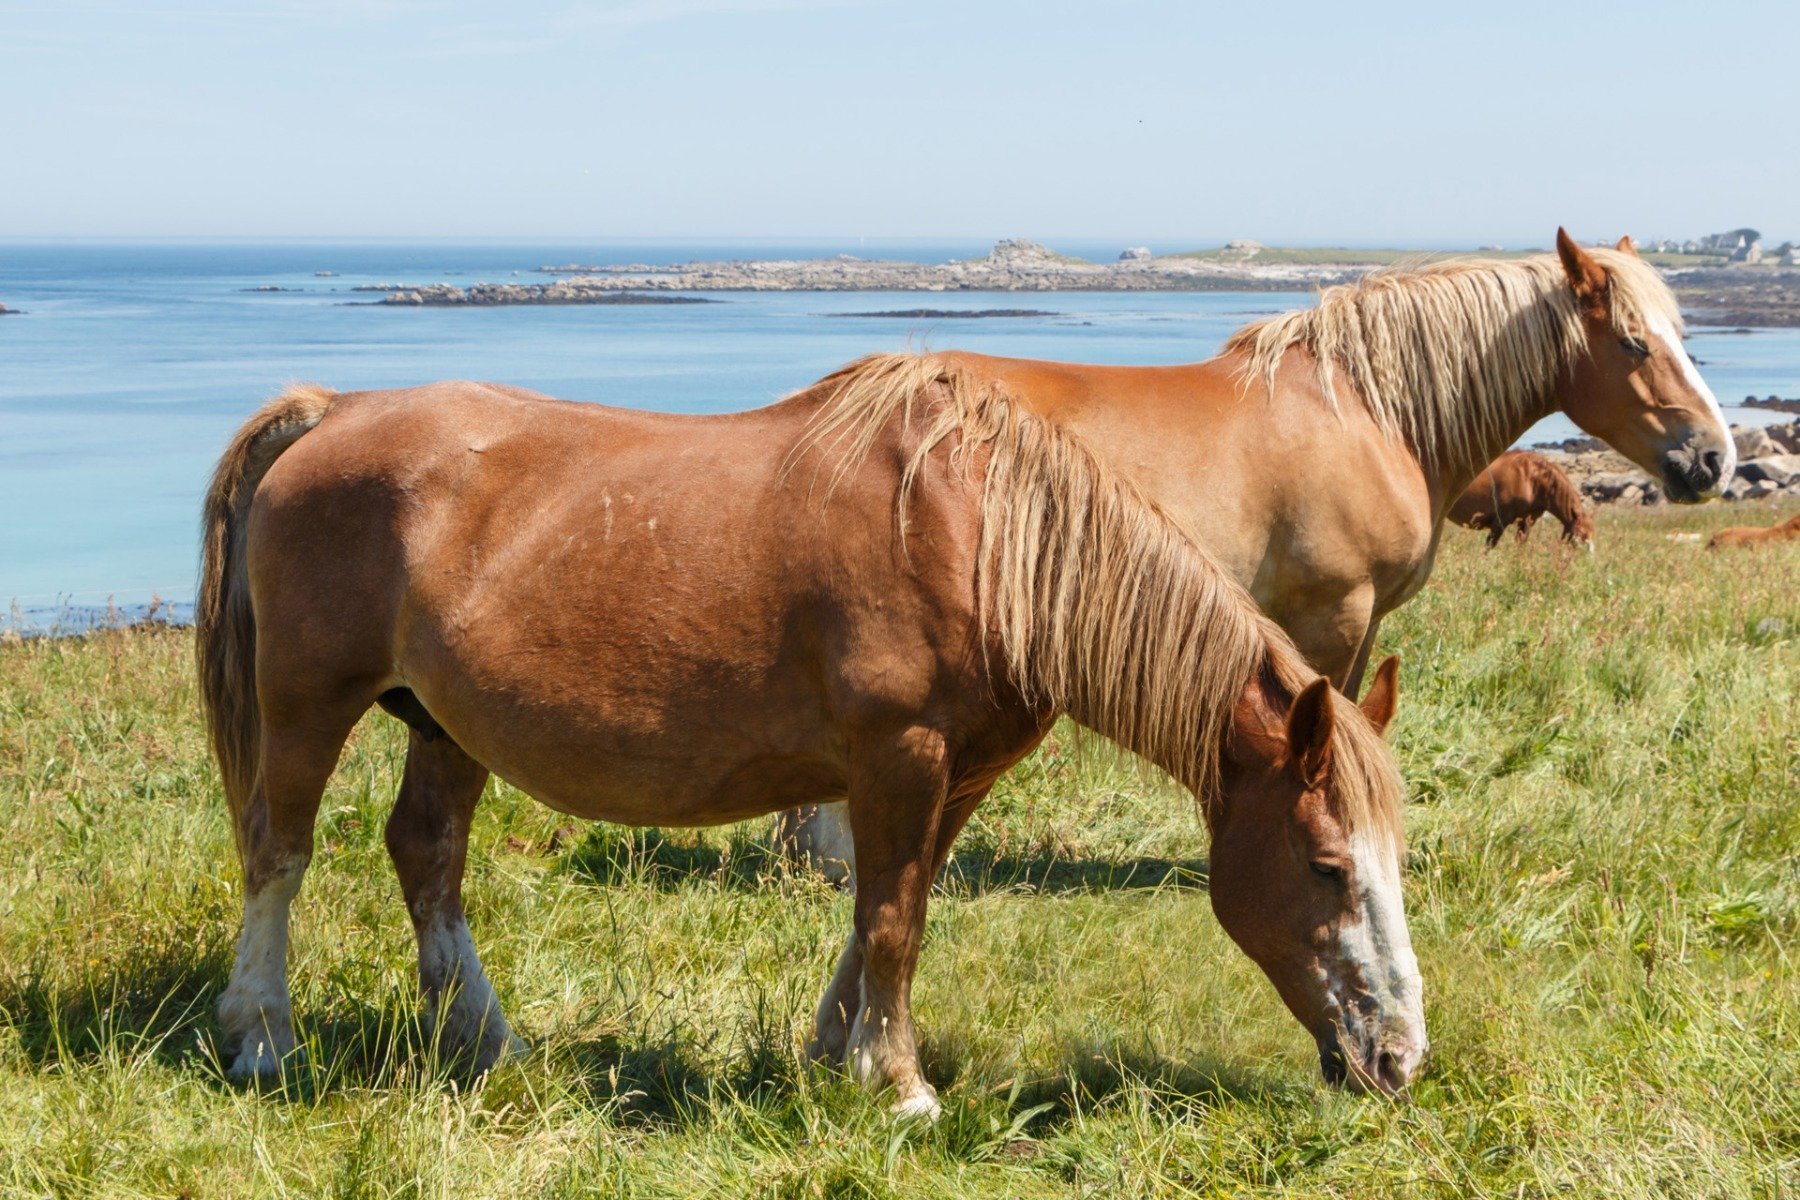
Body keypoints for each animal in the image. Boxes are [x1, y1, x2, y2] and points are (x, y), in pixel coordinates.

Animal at [200, 356, 1432, 1115]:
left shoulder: (957, 774)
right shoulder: (900, 756)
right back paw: (263, 1039)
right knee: (277, 854)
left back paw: (484, 1041)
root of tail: (337, 408)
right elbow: (891, 921)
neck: (982, 539)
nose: (1398, 1059)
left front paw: (838, 1057)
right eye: (1328, 867)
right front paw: (902, 1088)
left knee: (427, 856)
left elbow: (889, 913)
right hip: (308, 705)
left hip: (444, 724)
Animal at [1447, 449, 1591, 550]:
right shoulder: (1500, 521)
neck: (1530, 477)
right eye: (1582, 536)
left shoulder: (1526, 522)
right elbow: (1489, 546)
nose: (1587, 564)